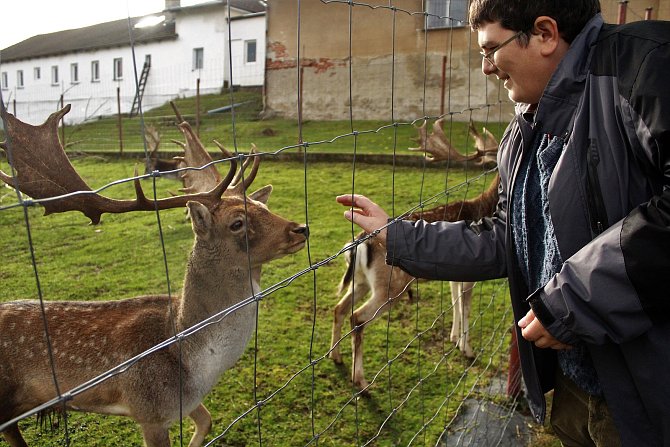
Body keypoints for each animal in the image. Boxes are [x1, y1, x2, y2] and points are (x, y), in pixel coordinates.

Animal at [0, 106, 308, 447]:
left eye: (260, 205)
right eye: (237, 222)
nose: (301, 229)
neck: (192, 363)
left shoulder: (186, 402)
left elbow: (207, 421)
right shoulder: (149, 409)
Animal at [330, 119, 498, 392]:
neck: (484, 208)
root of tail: (358, 244)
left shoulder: (455, 273)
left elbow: (454, 301)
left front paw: (453, 339)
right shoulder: (471, 273)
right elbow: (466, 307)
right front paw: (468, 350)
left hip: (362, 280)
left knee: (339, 308)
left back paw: (336, 357)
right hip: (391, 286)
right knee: (357, 317)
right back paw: (362, 381)